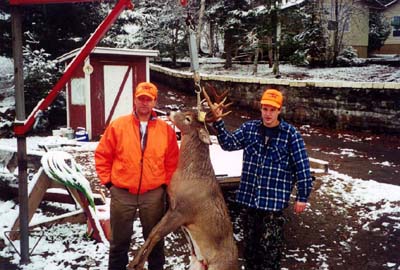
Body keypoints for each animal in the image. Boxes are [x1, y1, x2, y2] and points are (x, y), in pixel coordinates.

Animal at [127, 85, 238, 270]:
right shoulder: (172, 206)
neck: (189, 174)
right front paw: (134, 263)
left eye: (187, 119)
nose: (170, 110)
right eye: (187, 111)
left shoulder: (183, 211)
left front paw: (137, 264)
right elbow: (153, 231)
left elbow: (156, 234)